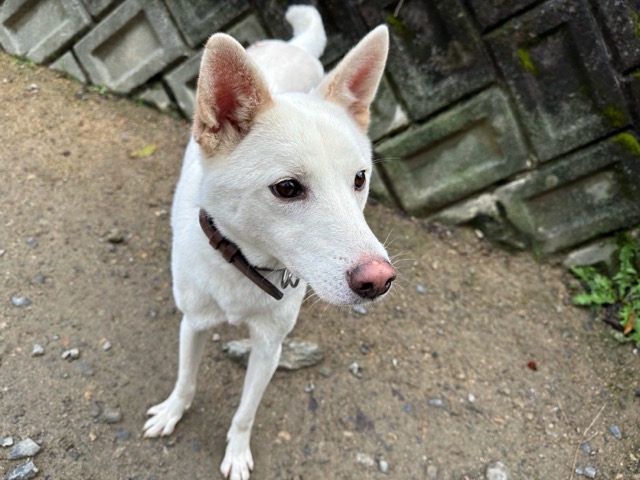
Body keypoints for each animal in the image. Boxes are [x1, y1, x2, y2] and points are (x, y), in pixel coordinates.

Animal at [143, 6, 395, 479]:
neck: (242, 262)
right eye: (287, 188)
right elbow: (186, 379)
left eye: (359, 179)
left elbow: (245, 412)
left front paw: (237, 452)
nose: (380, 281)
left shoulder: (268, 347)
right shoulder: (193, 321)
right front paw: (172, 411)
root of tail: (291, 47)